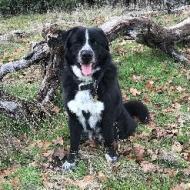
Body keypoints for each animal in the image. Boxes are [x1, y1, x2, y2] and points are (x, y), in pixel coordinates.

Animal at [55, 26, 149, 170]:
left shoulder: (107, 116)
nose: (86, 55)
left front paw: (111, 155)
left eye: (95, 43)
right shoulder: (73, 118)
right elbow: (73, 143)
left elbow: (109, 138)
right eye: (77, 42)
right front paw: (71, 161)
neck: (87, 84)